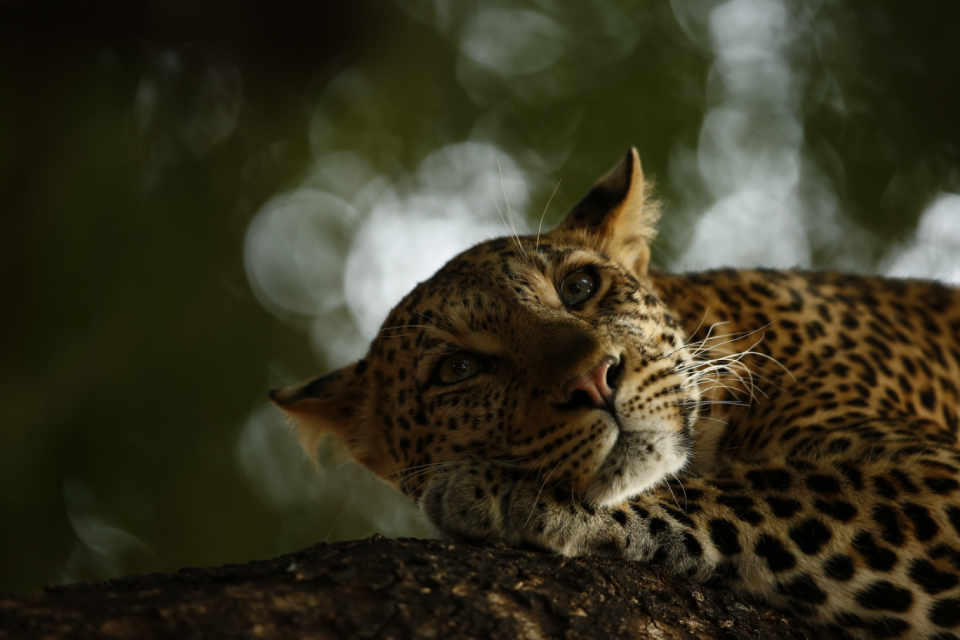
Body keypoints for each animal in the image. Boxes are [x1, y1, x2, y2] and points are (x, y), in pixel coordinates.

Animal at [268, 148, 960, 636]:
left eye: (579, 287)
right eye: (459, 370)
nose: (592, 379)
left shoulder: (934, 478)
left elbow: (762, 490)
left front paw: (503, 493)